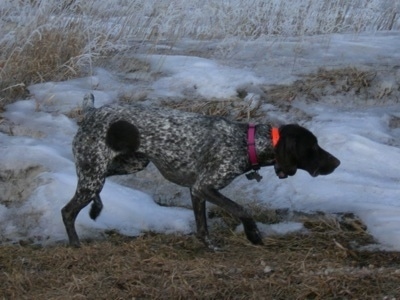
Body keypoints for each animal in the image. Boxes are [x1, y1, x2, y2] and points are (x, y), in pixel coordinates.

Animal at [62, 94, 340, 248]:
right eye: (313, 147)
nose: (337, 162)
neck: (246, 142)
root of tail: (90, 113)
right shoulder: (205, 186)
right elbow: (242, 209)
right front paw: (253, 235)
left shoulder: (196, 191)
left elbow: (202, 228)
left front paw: (210, 247)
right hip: (94, 175)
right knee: (67, 211)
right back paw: (75, 244)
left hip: (125, 165)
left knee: (95, 190)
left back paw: (96, 209)